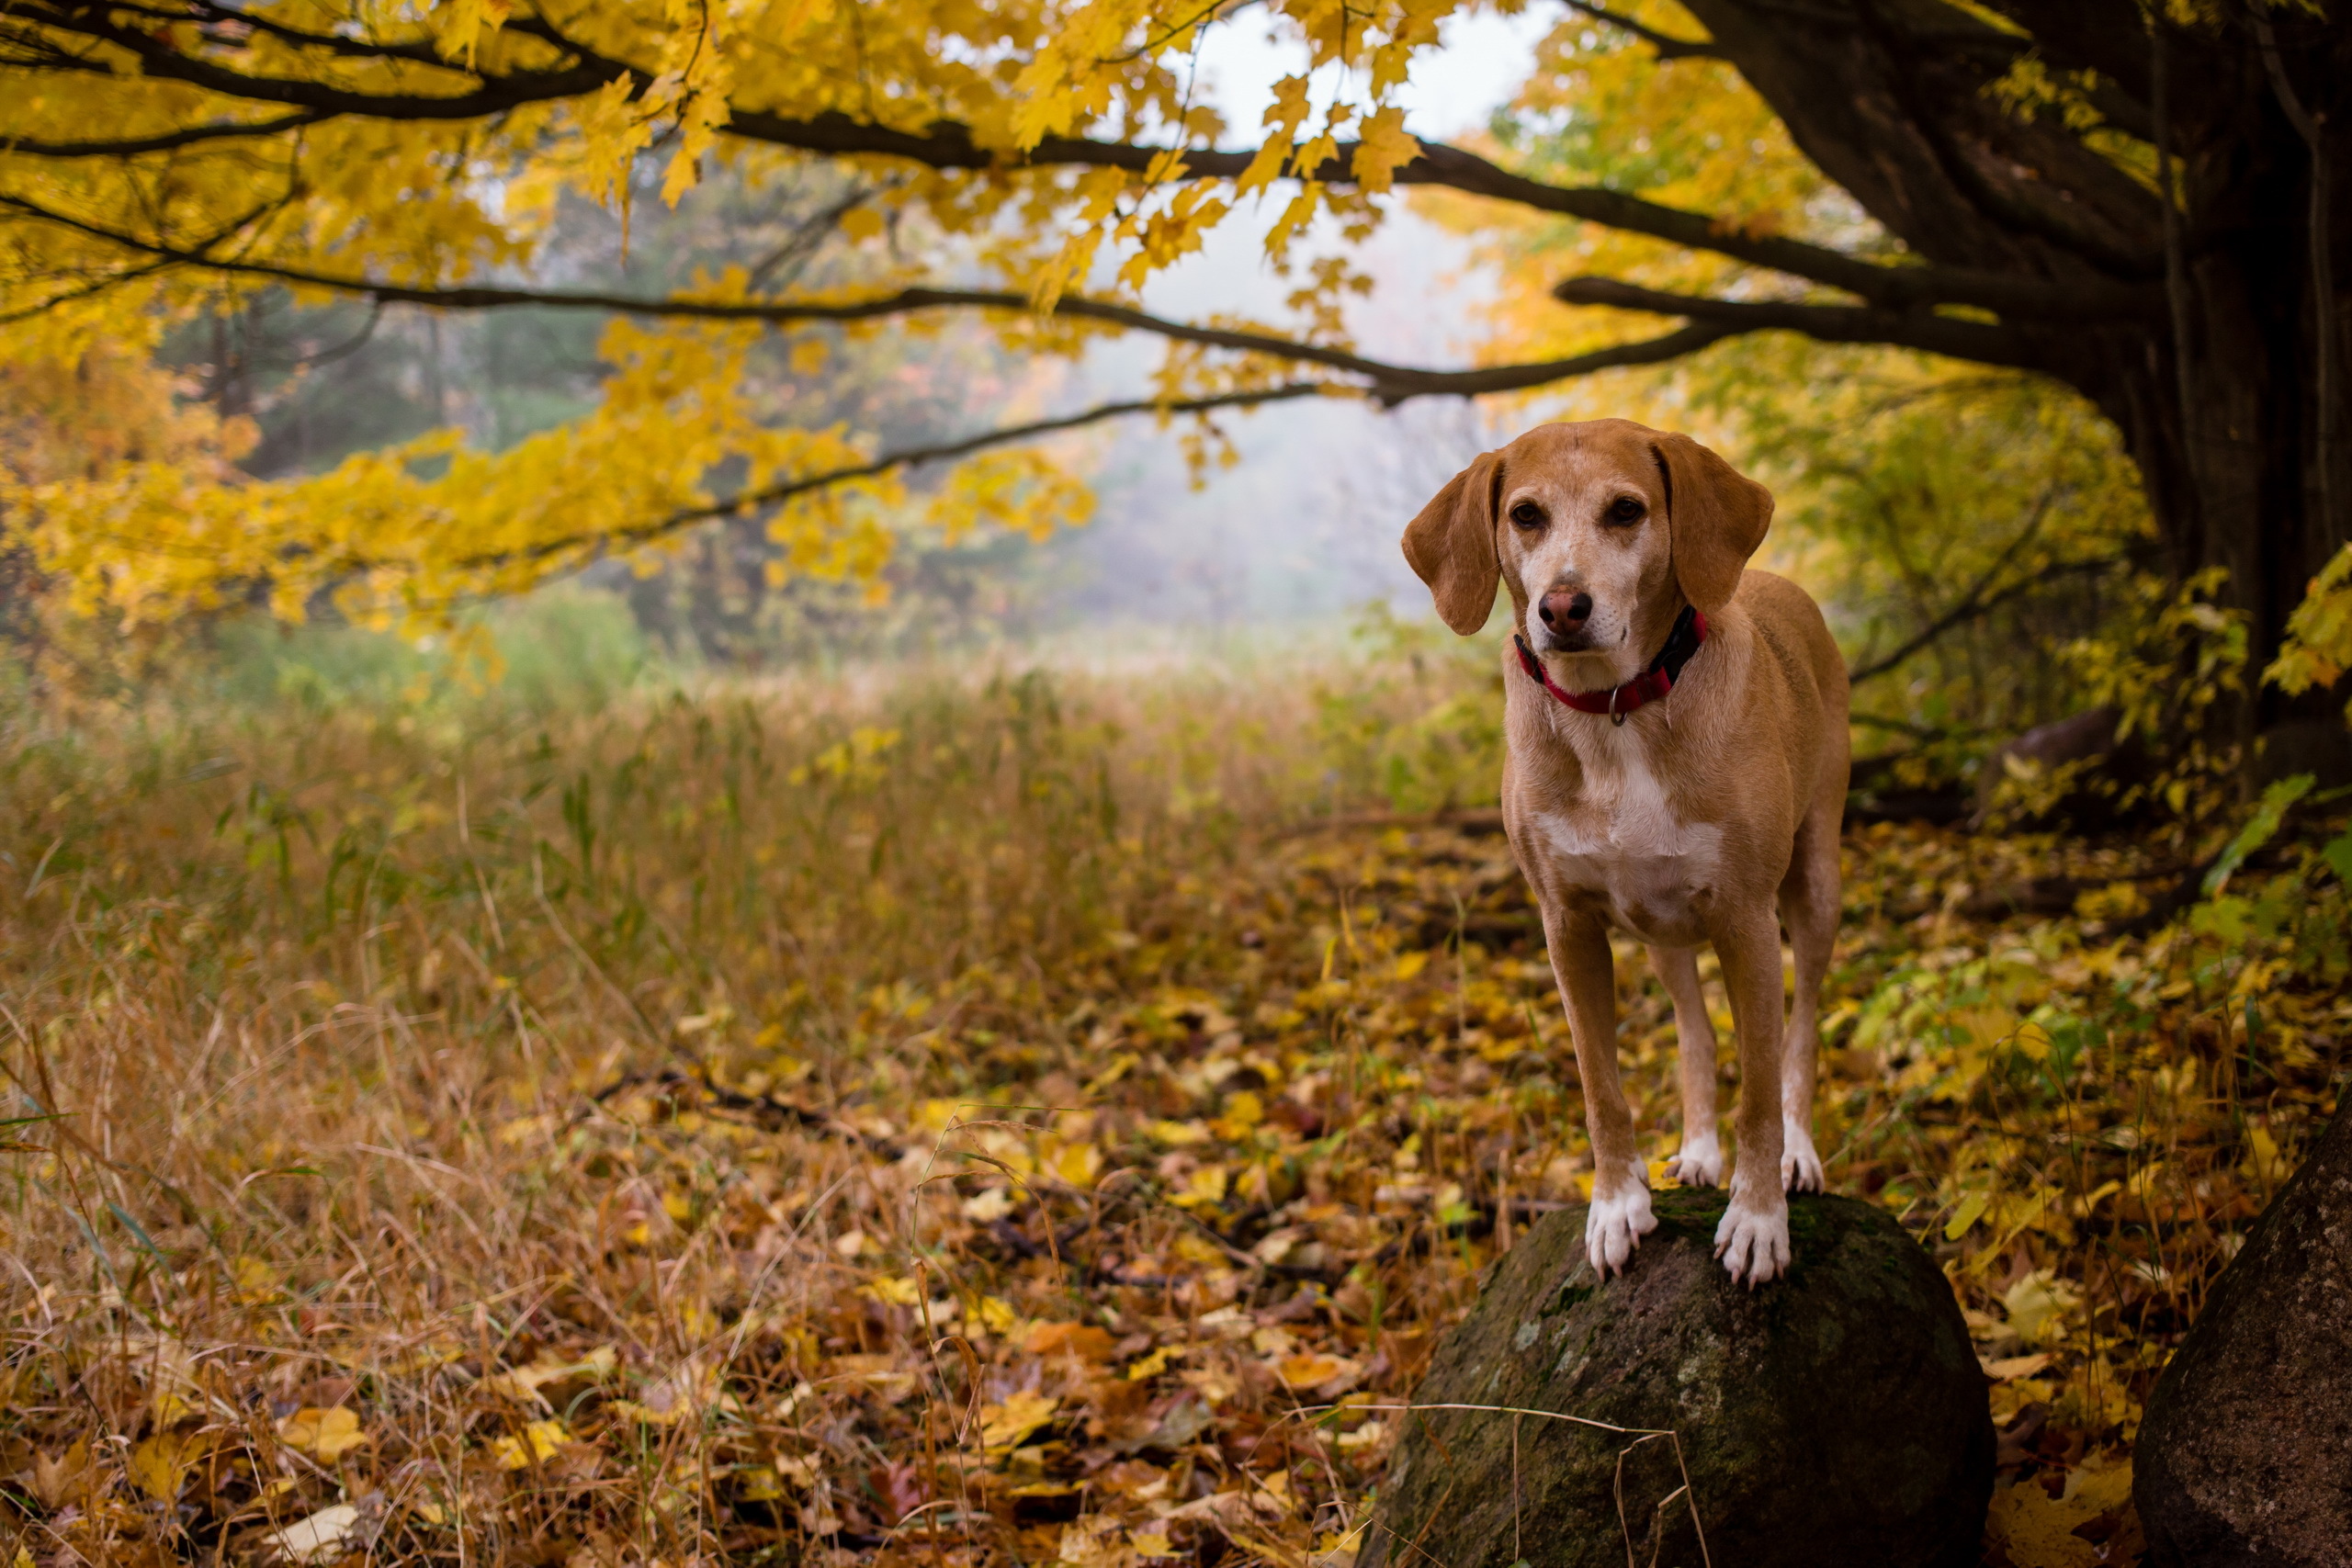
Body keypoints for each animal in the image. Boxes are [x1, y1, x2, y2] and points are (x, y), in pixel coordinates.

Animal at [1401, 421, 1844, 1288]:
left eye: (1626, 510)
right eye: (1526, 514)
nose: (1562, 606)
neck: (1617, 710)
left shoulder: (1747, 918)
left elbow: (1761, 1087)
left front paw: (1758, 1217)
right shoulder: (1568, 926)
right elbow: (1601, 1084)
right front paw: (1615, 1204)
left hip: (1814, 886)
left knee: (1802, 1028)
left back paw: (1799, 1153)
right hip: (1660, 927)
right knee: (1695, 1028)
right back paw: (1700, 1148)